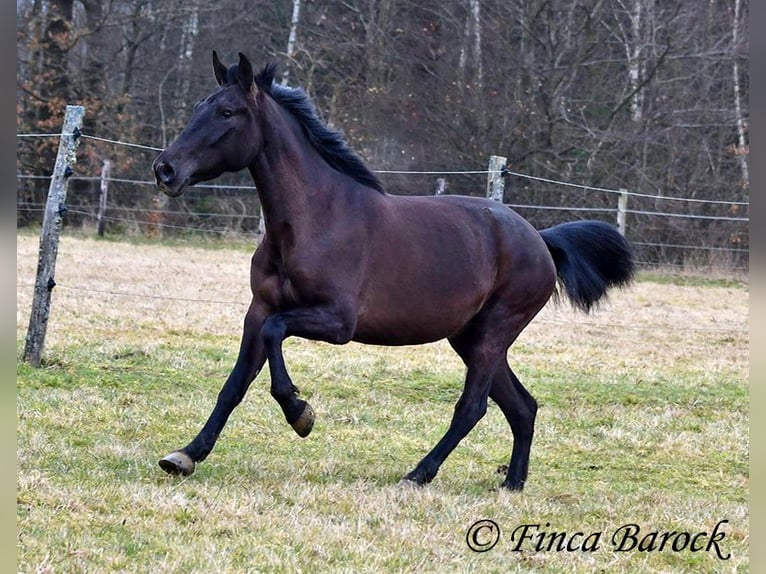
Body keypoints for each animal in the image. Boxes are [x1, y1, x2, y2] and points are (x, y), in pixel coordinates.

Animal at [152, 51, 636, 492]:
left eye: (226, 112)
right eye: (199, 105)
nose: (165, 169)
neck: (316, 218)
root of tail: (539, 238)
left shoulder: (336, 321)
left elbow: (276, 337)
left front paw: (300, 414)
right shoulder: (258, 310)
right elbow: (234, 384)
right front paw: (186, 455)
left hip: (495, 332)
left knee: (473, 406)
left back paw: (418, 474)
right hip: (471, 337)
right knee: (522, 406)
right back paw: (512, 484)